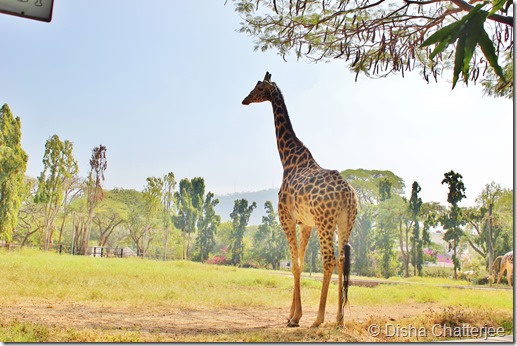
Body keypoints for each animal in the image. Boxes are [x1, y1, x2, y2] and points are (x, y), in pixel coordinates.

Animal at [241, 71, 354, 328]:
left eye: (258, 87)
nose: (244, 100)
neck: (288, 158)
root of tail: (347, 194)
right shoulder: (306, 224)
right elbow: (300, 264)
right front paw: (292, 314)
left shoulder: (287, 218)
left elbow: (294, 264)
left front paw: (297, 317)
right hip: (345, 222)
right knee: (341, 260)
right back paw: (339, 319)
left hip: (325, 222)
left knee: (329, 260)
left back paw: (319, 319)